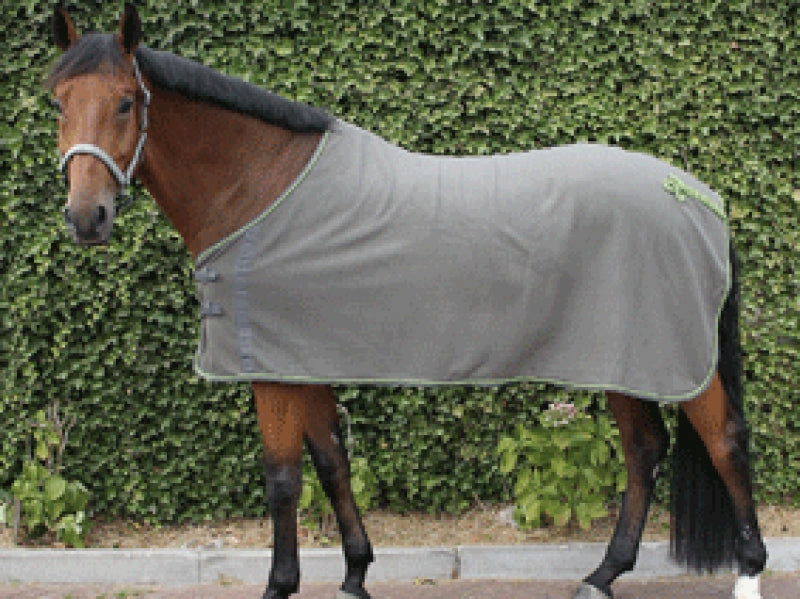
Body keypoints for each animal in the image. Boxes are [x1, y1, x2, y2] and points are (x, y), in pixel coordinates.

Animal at [45, 4, 767, 599]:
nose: (87, 217)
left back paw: (748, 574)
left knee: (725, 441)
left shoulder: (271, 368)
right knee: (644, 450)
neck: (262, 186)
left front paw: (281, 586)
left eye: (125, 103)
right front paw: (355, 576)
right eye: (57, 103)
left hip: (672, 355)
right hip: (621, 357)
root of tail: (698, 196)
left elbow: (283, 478)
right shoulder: (306, 357)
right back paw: (602, 575)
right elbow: (332, 462)